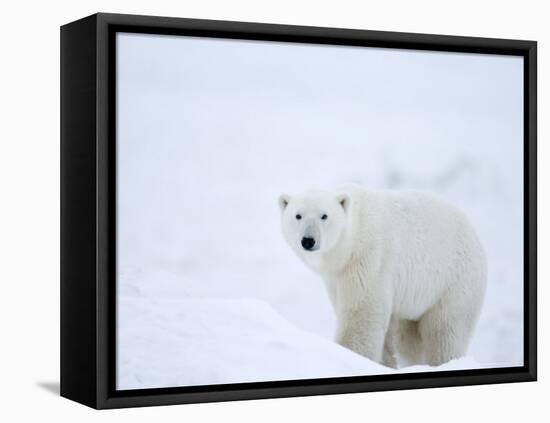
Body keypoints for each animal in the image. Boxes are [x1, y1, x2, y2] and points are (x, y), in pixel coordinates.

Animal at [280, 190, 488, 370]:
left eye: (324, 216)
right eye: (298, 216)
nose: (308, 240)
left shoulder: (369, 258)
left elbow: (361, 314)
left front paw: (352, 356)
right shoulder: (336, 277)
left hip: (454, 280)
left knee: (445, 331)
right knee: (410, 338)